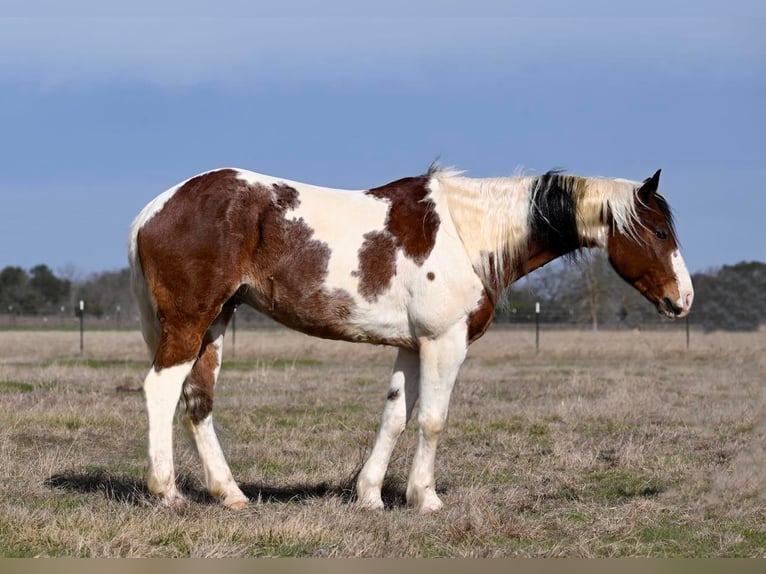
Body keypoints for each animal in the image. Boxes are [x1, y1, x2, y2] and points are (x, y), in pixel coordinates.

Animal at [127, 162, 696, 512]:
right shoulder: (444, 343)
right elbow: (432, 421)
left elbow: (395, 417)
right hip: (190, 322)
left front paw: (370, 496)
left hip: (215, 325)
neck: (468, 235)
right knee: (161, 391)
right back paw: (169, 493)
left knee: (199, 402)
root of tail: (156, 209)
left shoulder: (410, 345)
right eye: (659, 232)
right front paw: (425, 497)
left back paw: (230, 493)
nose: (683, 300)